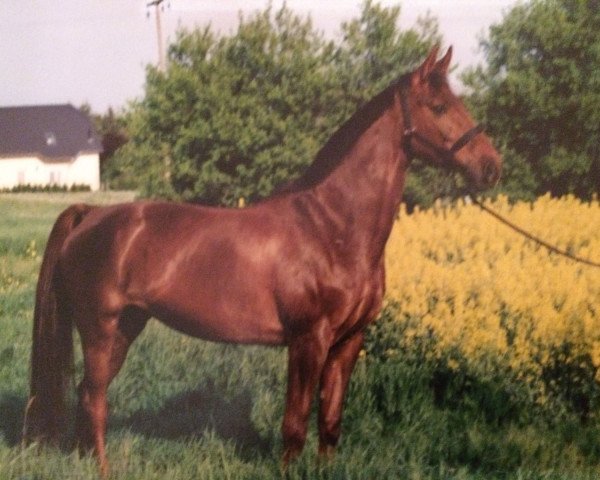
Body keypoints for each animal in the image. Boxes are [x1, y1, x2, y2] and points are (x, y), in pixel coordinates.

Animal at [23, 45, 502, 472]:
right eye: (438, 107)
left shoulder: (349, 341)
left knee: (87, 394)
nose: (491, 167)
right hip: (100, 330)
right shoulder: (309, 340)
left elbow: (330, 421)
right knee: (95, 399)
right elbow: (295, 426)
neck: (331, 226)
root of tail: (91, 214)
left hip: (126, 327)